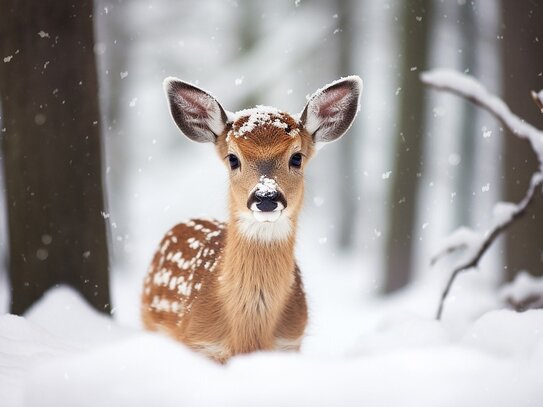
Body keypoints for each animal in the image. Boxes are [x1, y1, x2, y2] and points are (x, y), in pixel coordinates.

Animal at [141, 75, 362, 362]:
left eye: (297, 157)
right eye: (233, 158)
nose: (266, 196)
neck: (249, 334)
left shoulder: (290, 343)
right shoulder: (200, 345)